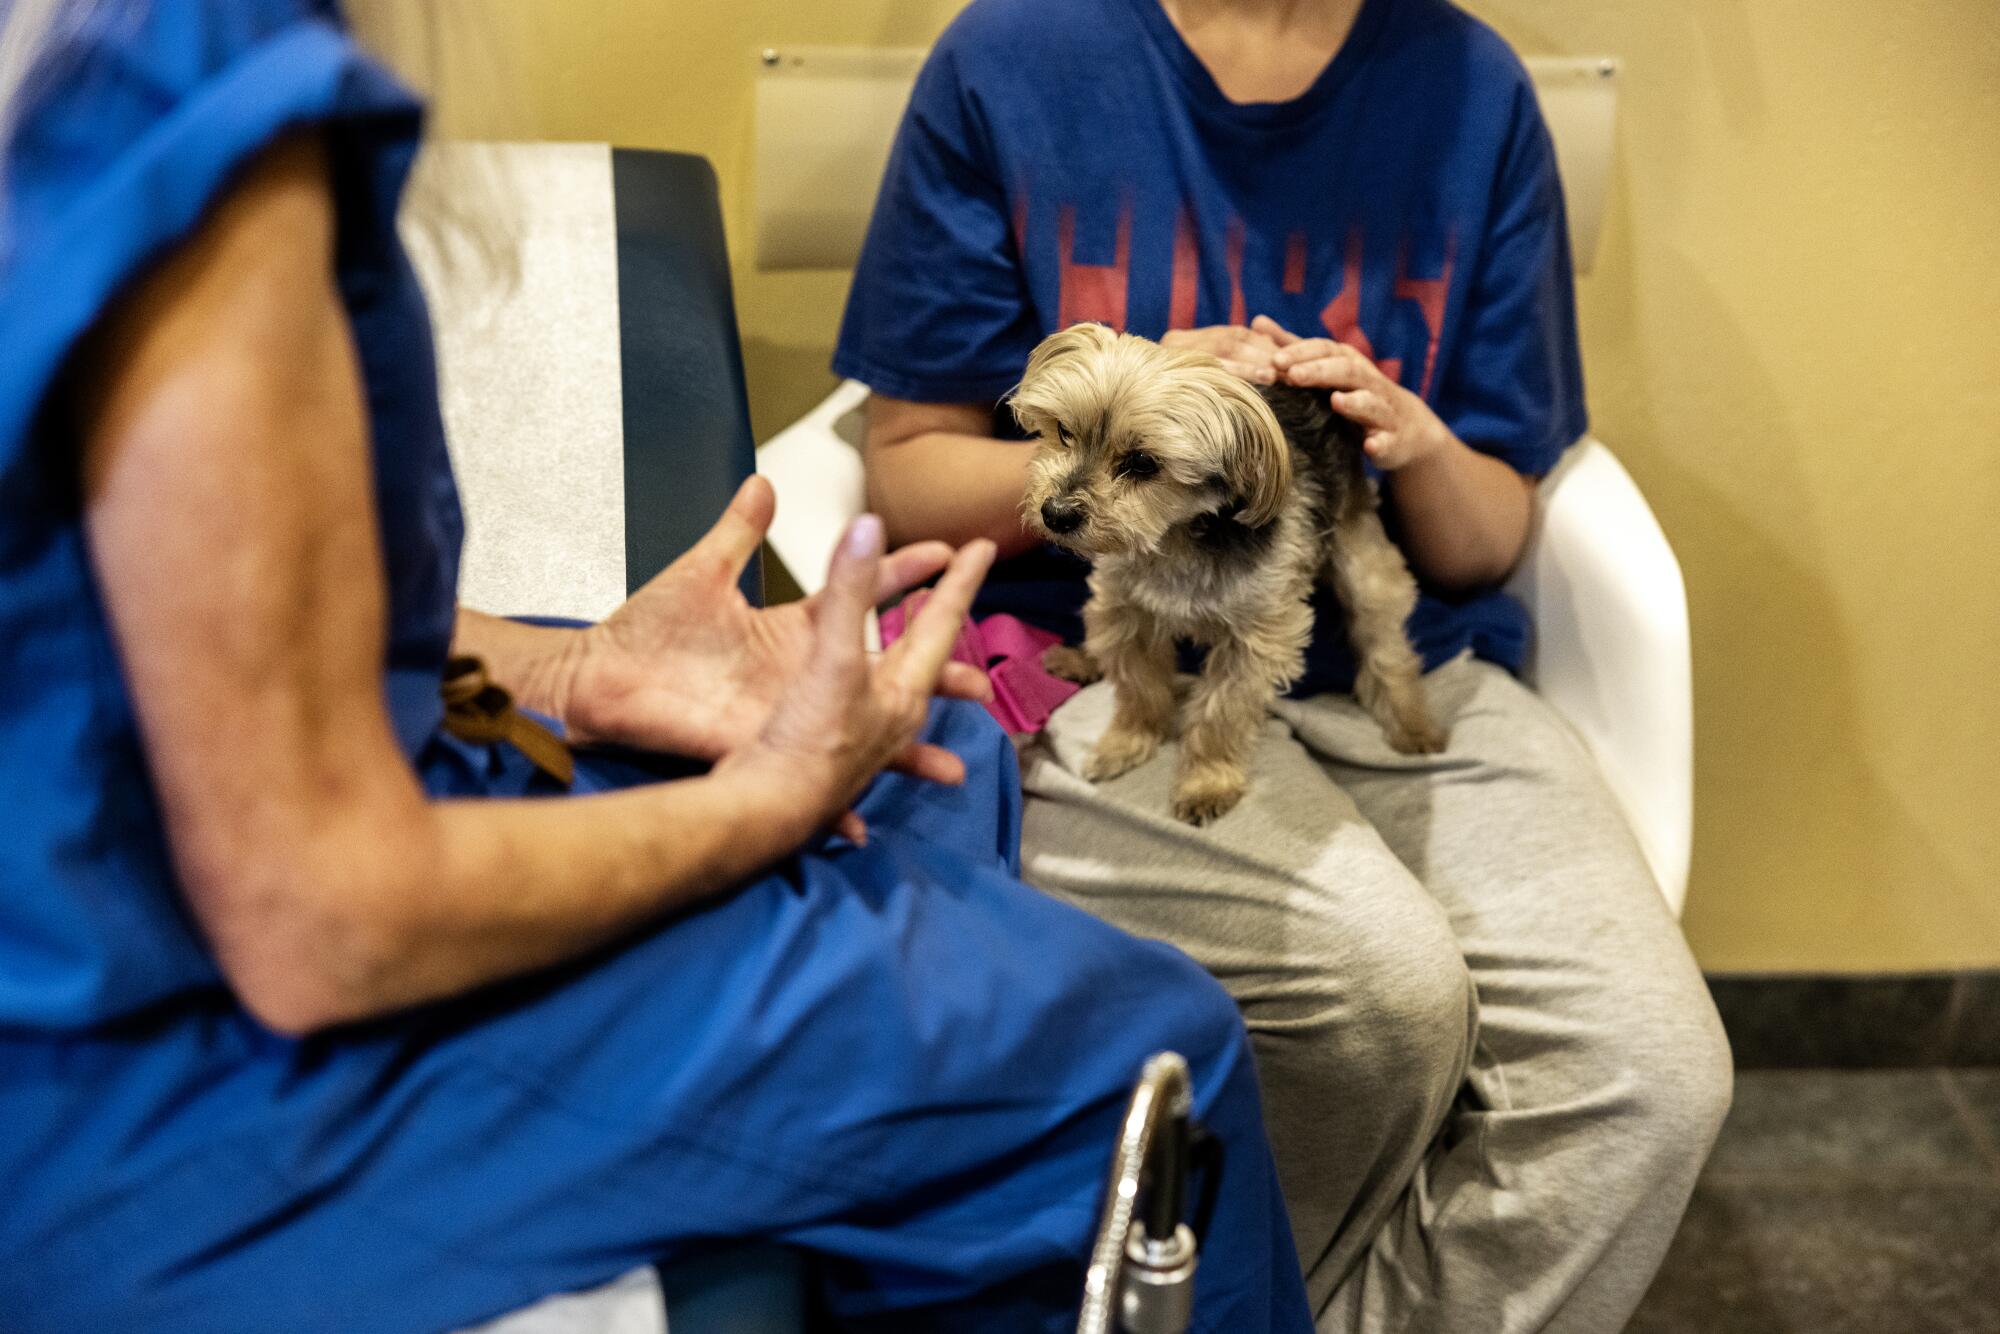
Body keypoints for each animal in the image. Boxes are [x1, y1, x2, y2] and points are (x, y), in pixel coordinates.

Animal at [1016, 324, 1440, 824]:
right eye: (1064, 431)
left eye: (1143, 463)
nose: (1056, 514)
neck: (1175, 537)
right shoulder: (1125, 609)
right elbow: (1138, 686)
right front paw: (1128, 742)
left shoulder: (1256, 638)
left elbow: (1222, 712)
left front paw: (1206, 783)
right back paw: (1079, 659)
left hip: (1361, 560)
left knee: (1386, 644)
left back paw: (1414, 727)